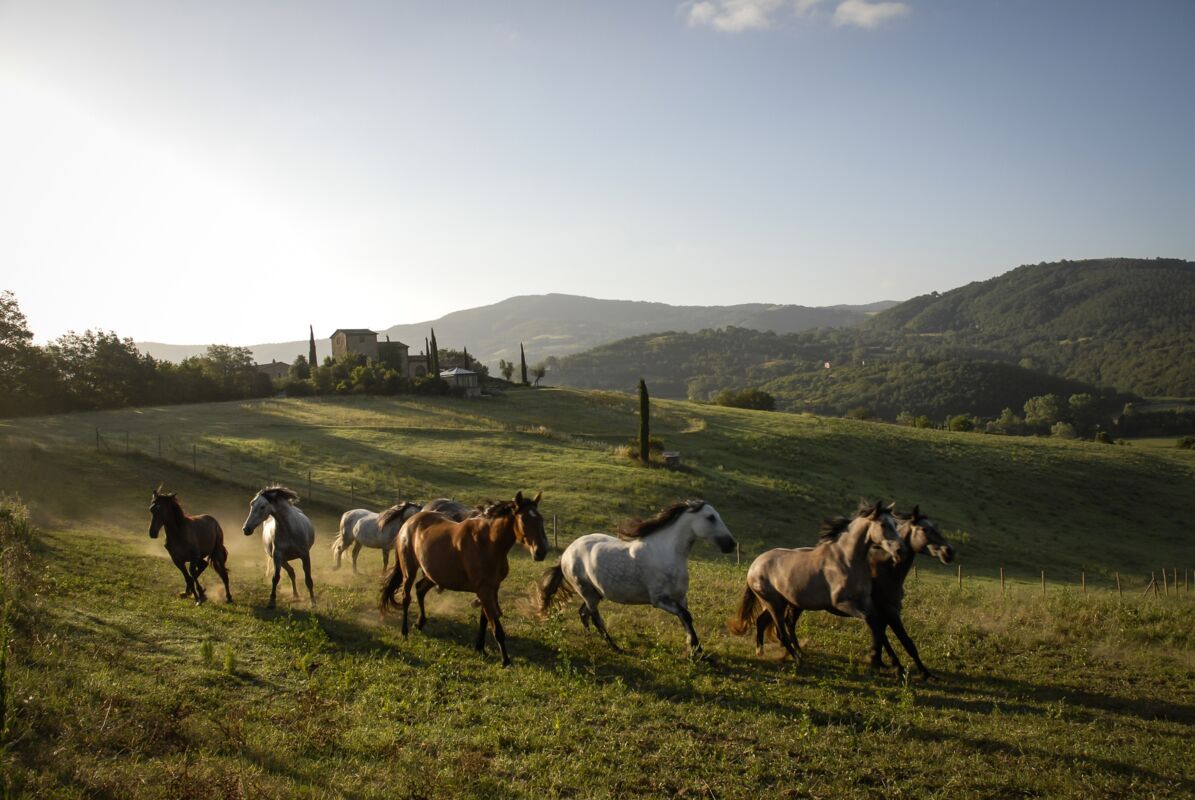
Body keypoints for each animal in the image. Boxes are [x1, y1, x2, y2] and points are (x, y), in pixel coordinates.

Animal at [380, 491, 548, 667]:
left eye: (540, 519)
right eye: (524, 519)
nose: (541, 551)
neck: (488, 543)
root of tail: (409, 522)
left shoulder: (491, 588)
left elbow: (485, 620)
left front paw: (480, 648)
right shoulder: (484, 591)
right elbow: (496, 627)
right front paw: (505, 660)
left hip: (434, 575)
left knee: (420, 589)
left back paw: (420, 622)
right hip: (409, 571)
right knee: (406, 597)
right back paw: (404, 632)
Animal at [534, 500, 737, 658]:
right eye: (710, 517)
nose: (731, 544)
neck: (666, 553)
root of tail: (567, 553)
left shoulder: (680, 598)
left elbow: (686, 619)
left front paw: (696, 650)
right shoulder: (660, 600)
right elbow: (685, 616)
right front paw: (696, 651)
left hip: (596, 593)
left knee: (583, 613)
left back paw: (590, 639)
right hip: (587, 592)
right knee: (595, 618)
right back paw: (615, 647)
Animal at [729, 500, 905, 672]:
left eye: (895, 524)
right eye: (883, 524)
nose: (899, 550)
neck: (846, 560)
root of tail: (754, 565)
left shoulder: (866, 602)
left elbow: (879, 625)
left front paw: (895, 664)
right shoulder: (843, 604)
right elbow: (872, 621)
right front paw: (878, 659)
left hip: (782, 603)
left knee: (763, 622)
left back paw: (763, 651)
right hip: (774, 604)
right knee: (781, 632)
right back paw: (798, 659)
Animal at [761, 506, 955, 679]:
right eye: (924, 529)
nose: (949, 552)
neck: (886, 571)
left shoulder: (883, 612)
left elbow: (883, 635)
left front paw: (883, 662)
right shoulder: (889, 612)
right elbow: (904, 641)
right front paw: (915, 671)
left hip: (794, 603)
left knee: (784, 622)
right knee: (785, 623)